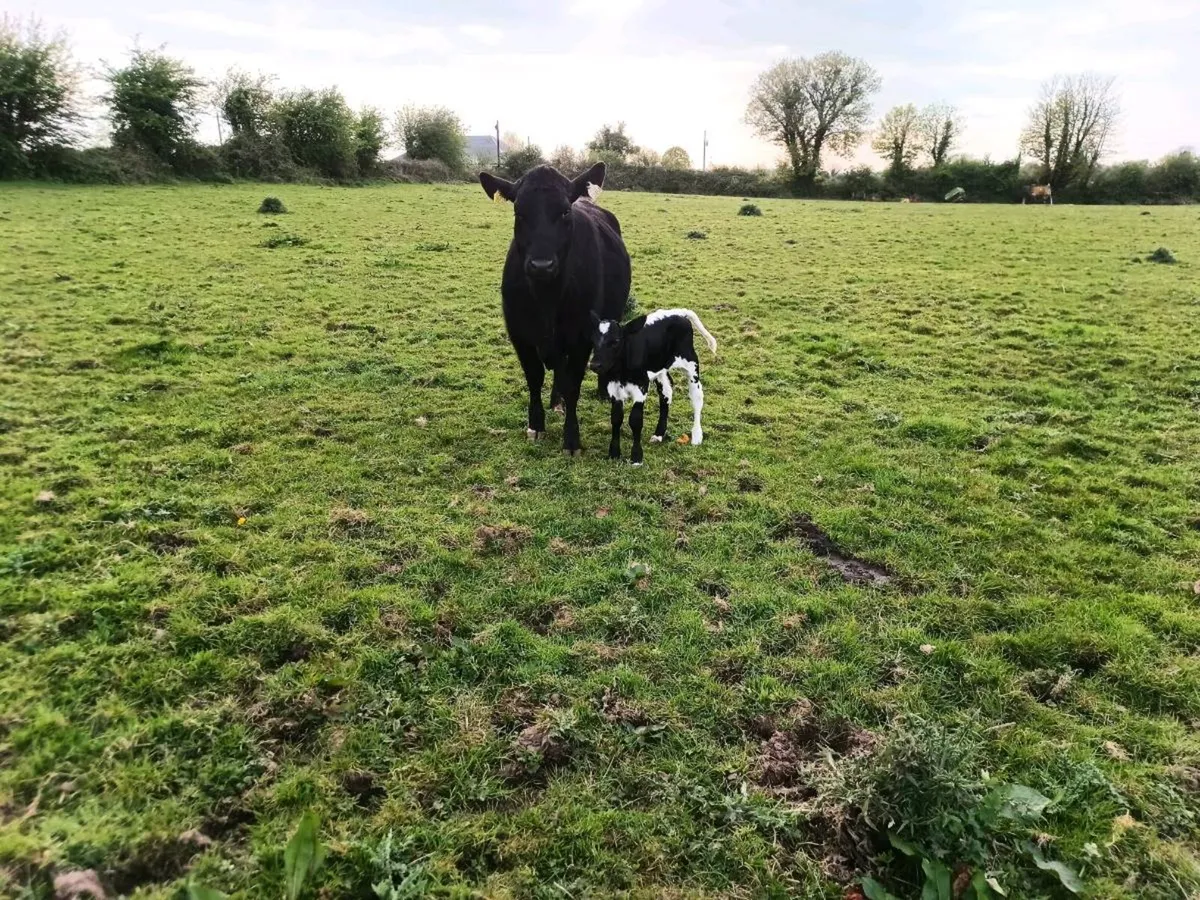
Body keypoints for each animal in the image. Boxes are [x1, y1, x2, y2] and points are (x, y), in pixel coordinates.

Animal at [479, 162, 631, 456]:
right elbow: (534, 377)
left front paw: (571, 439)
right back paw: (555, 401)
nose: (541, 265)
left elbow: (573, 385)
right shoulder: (519, 334)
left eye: (564, 211)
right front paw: (536, 425)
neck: (546, 299)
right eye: (519, 212)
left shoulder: (582, 337)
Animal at [588, 308, 717, 465]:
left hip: (691, 362)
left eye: (616, 341)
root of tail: (679, 312)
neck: (622, 371)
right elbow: (616, 418)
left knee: (697, 398)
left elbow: (635, 420)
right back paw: (659, 434)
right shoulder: (614, 390)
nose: (594, 365)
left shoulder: (641, 387)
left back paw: (697, 435)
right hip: (660, 369)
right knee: (666, 393)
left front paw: (636, 458)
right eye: (593, 340)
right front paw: (614, 453)